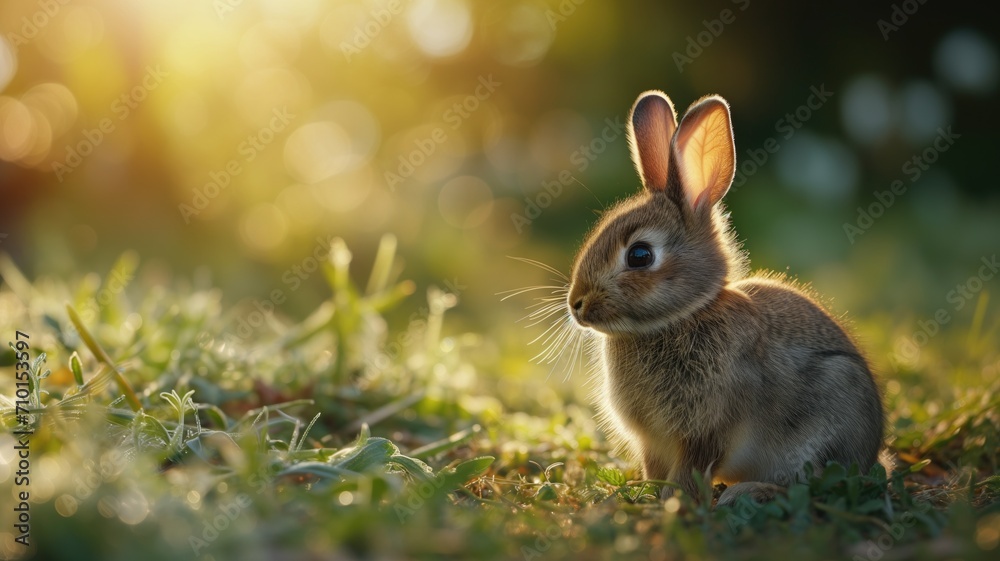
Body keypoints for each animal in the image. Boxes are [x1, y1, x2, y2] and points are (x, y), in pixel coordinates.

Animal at [566, 91, 886, 506]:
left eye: (639, 255)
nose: (576, 304)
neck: (681, 317)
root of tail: (872, 452)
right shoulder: (653, 443)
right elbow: (657, 470)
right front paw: (652, 496)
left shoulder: (706, 433)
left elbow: (690, 471)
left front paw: (676, 503)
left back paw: (747, 493)